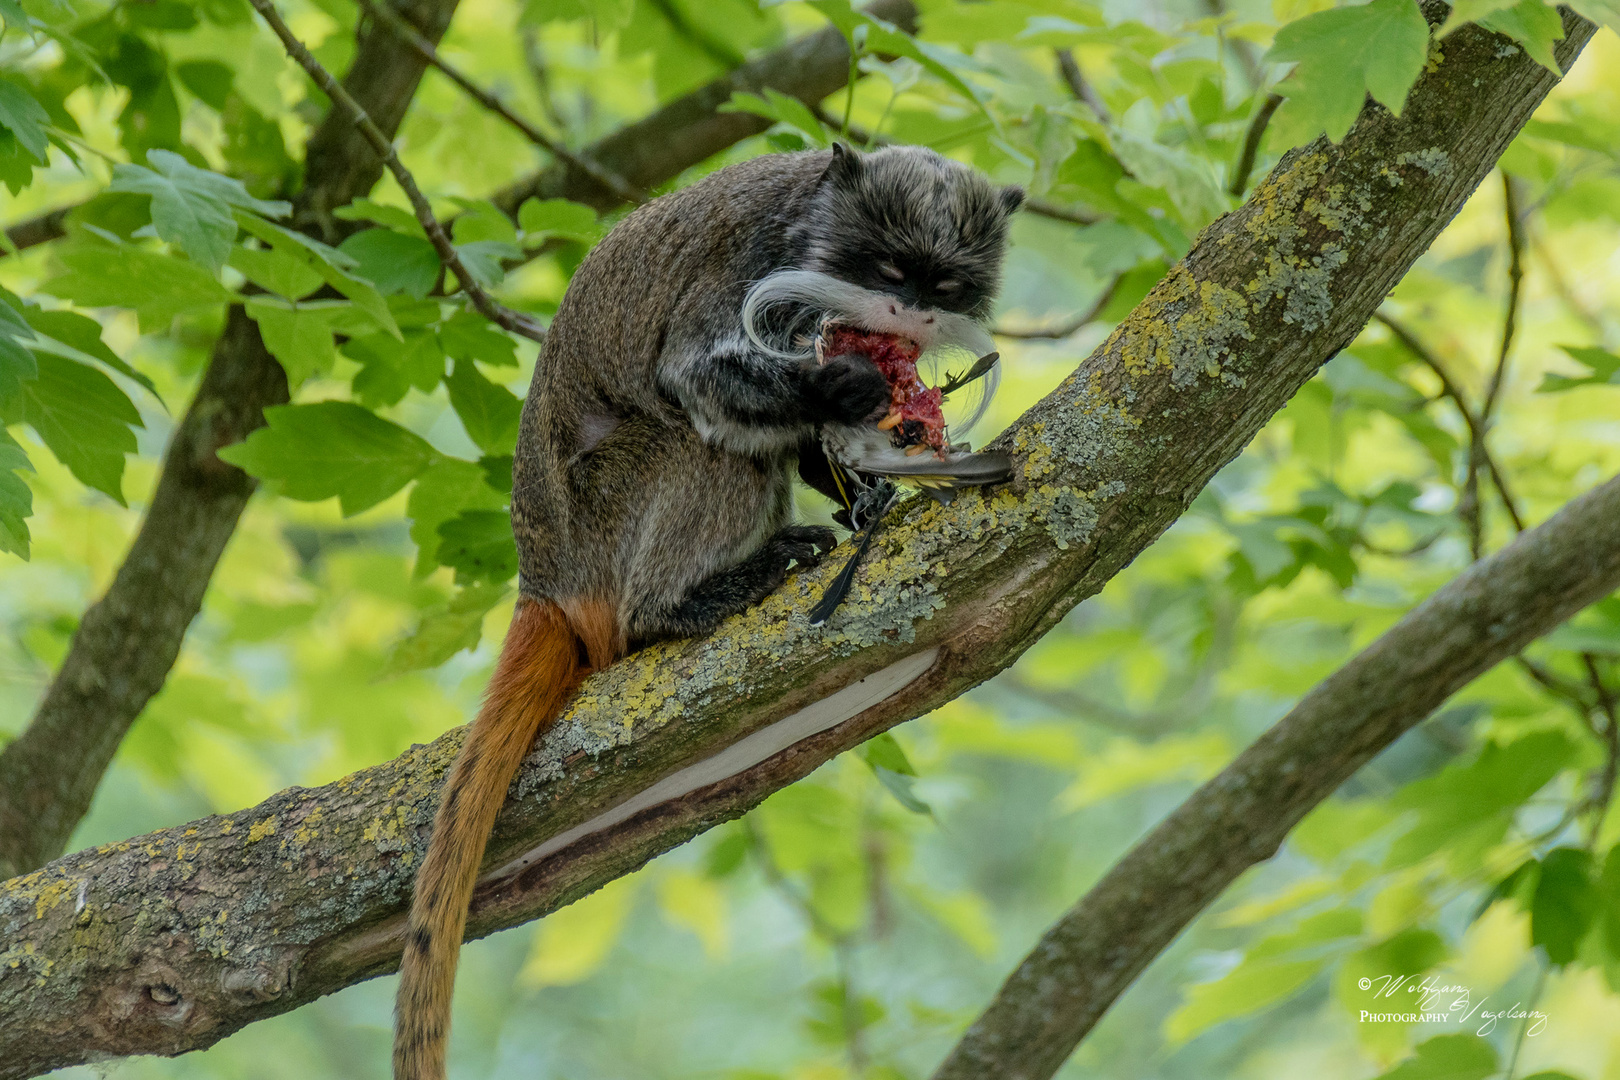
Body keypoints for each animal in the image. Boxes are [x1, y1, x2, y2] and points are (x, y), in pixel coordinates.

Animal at [392, 143, 1017, 1080]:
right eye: (888, 271)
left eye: (941, 287)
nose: (905, 312)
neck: (812, 222)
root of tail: (547, 579)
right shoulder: (754, 270)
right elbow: (695, 376)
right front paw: (843, 389)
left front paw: (865, 490)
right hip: (609, 513)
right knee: (695, 437)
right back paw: (676, 607)